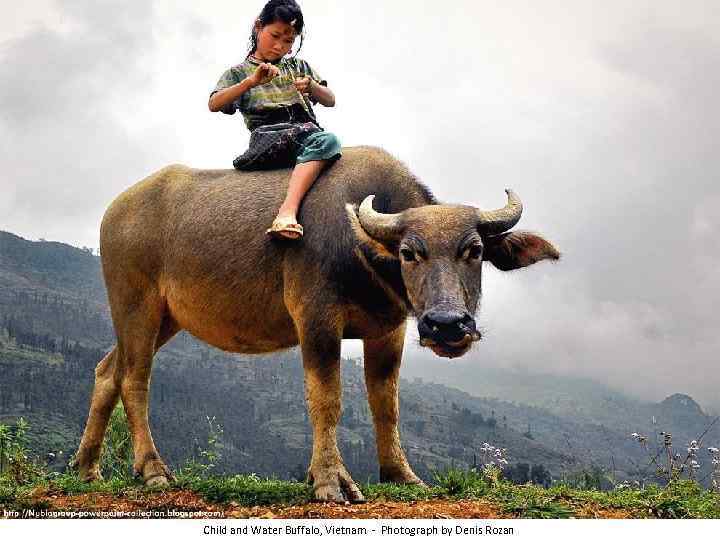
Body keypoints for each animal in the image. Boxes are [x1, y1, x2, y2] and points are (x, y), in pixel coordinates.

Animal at [73, 144, 560, 502]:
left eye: (474, 250)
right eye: (409, 252)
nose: (446, 325)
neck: (363, 252)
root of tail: (115, 211)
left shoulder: (389, 330)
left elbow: (386, 403)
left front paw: (401, 475)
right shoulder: (317, 320)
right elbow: (327, 400)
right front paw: (329, 480)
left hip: (166, 318)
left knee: (108, 371)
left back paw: (86, 468)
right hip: (135, 304)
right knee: (135, 379)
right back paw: (153, 470)